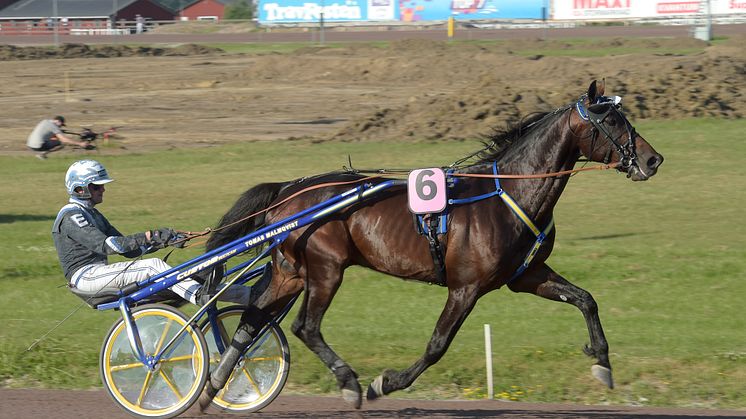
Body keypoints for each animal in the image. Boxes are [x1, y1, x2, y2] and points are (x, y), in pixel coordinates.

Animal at [196, 79, 664, 410]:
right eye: (612, 121)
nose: (653, 159)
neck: (505, 194)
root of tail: (288, 190)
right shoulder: (466, 287)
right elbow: (438, 345)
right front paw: (385, 383)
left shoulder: (527, 275)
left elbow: (586, 299)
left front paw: (602, 363)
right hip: (326, 267)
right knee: (304, 327)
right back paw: (349, 384)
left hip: (290, 271)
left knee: (253, 317)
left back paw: (214, 385)